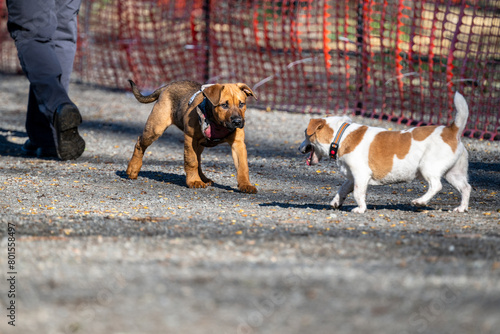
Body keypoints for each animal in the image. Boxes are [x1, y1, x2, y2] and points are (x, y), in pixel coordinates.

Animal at [125, 79, 258, 192]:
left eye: (241, 104)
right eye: (224, 105)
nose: (237, 122)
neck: (217, 124)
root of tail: (168, 85)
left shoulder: (238, 143)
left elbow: (242, 166)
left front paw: (246, 185)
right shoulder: (190, 138)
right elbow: (191, 161)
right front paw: (194, 181)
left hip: (199, 145)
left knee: (198, 160)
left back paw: (204, 179)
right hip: (155, 128)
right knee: (139, 143)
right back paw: (133, 169)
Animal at [298, 91, 470, 213]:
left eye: (306, 134)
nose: (299, 149)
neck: (340, 136)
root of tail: (451, 130)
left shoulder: (360, 175)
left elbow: (358, 194)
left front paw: (360, 209)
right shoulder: (353, 176)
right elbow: (344, 188)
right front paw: (336, 202)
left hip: (428, 168)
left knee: (436, 186)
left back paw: (420, 201)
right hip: (453, 174)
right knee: (466, 188)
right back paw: (461, 208)